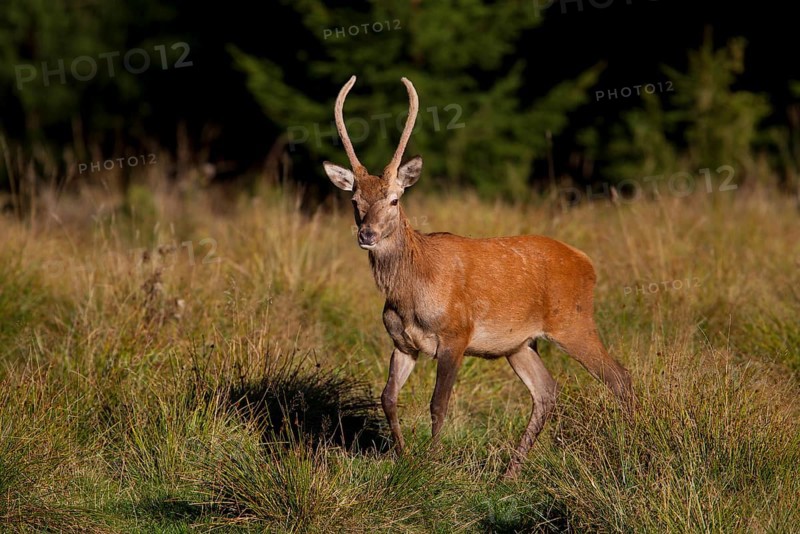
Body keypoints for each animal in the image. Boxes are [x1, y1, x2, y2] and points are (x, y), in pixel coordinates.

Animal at [322, 75, 636, 478]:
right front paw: (404, 458)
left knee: (619, 378)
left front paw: (431, 465)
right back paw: (510, 472)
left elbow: (438, 403)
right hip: (520, 343)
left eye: (394, 199)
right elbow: (388, 397)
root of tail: (588, 263)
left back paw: (629, 451)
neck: (410, 295)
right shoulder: (402, 343)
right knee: (546, 391)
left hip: (574, 322)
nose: (367, 234)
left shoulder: (457, 334)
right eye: (354, 200)